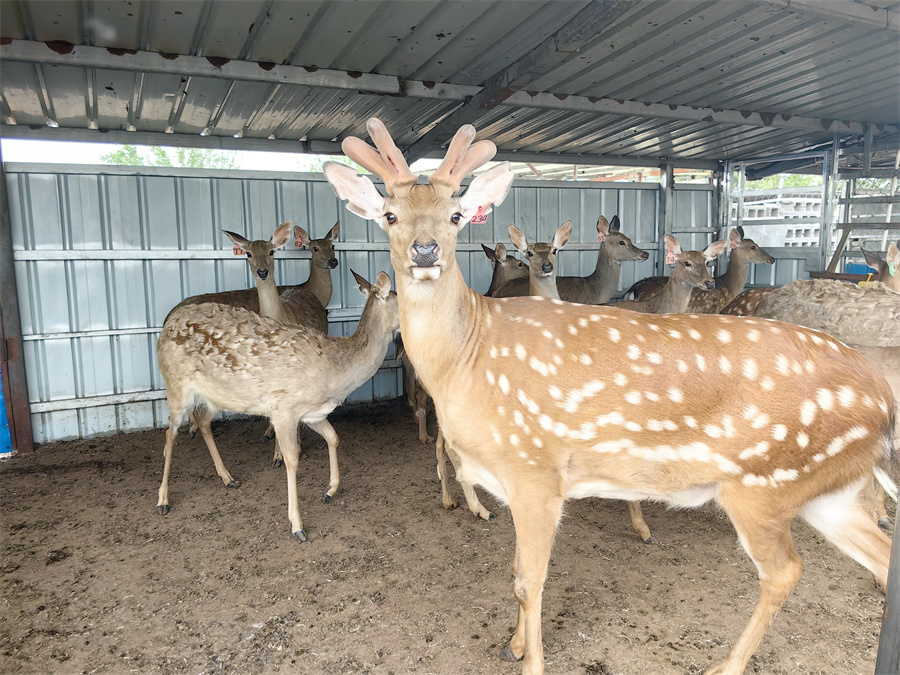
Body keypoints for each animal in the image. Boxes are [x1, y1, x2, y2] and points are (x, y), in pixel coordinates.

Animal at [156, 270, 399, 541]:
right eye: (403, 300)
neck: (336, 372)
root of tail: (168, 324)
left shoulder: (313, 413)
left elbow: (333, 438)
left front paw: (330, 490)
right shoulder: (284, 409)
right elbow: (292, 460)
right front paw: (297, 526)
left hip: (216, 396)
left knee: (203, 421)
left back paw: (228, 478)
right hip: (175, 385)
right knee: (170, 432)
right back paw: (163, 500)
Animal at [626, 227, 775, 313]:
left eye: (707, 262)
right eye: (753, 247)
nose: (772, 258)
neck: (730, 287)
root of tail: (633, 289)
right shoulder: (716, 309)